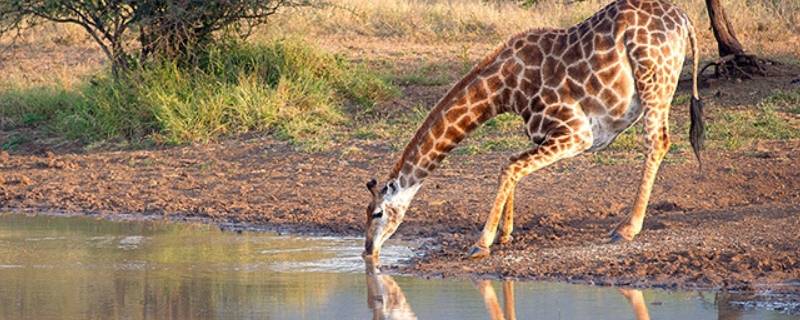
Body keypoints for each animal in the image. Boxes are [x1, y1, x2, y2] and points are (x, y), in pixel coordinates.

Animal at [360, 0, 704, 260]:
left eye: (376, 213)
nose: (367, 250)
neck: (505, 89)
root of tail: (684, 19)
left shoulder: (576, 133)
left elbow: (510, 167)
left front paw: (481, 243)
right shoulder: (550, 135)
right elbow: (510, 163)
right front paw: (505, 235)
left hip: (654, 80)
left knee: (658, 141)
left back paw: (626, 228)